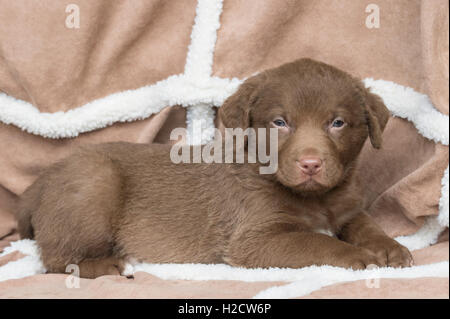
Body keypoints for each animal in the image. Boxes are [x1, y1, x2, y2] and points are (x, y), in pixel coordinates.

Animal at [16, 58, 412, 278]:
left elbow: (364, 224)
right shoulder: (254, 239)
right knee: (56, 259)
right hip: (94, 183)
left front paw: (389, 248)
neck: (315, 198)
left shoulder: (347, 207)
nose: (311, 164)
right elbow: (317, 241)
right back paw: (111, 265)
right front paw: (359, 257)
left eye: (338, 123)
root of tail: (42, 180)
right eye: (280, 123)